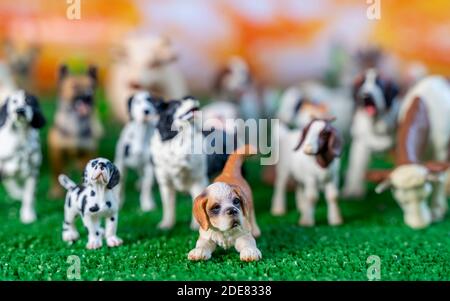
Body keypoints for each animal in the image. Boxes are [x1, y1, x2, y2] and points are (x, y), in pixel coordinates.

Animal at [48, 64, 103, 198]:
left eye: (92, 87)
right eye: (74, 87)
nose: (89, 96)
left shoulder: (88, 153)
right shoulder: (57, 153)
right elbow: (57, 172)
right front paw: (56, 191)